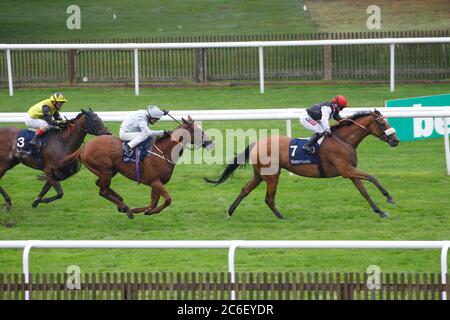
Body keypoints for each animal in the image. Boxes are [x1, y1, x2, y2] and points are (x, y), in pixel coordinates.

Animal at [60, 115, 214, 220]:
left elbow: (153, 203)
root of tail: (84, 147)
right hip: (105, 170)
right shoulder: (154, 181)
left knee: (101, 186)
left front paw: (143, 210)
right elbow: (167, 200)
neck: (163, 152)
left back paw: (122, 204)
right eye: (198, 131)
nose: (210, 142)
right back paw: (125, 208)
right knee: (102, 191)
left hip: (110, 171)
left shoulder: (157, 183)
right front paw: (143, 211)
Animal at [206, 110, 400, 220]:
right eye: (382, 122)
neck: (344, 140)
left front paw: (380, 211)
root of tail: (256, 143)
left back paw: (230, 212)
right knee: (269, 198)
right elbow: (372, 177)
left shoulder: (350, 172)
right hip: (272, 175)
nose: (395, 140)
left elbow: (364, 193)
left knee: (245, 190)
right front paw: (389, 198)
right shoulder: (347, 170)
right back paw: (282, 217)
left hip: (260, 175)